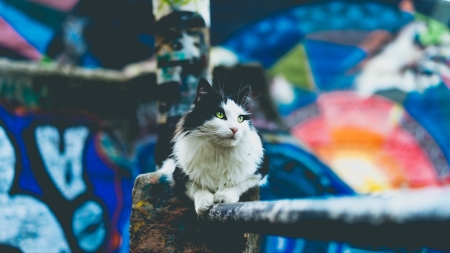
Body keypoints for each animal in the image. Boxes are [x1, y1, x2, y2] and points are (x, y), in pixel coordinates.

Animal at [159, 77, 268, 215]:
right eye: (219, 114)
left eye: (240, 119)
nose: (235, 129)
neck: (219, 153)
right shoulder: (179, 173)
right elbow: (197, 187)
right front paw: (204, 203)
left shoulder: (261, 169)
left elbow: (239, 183)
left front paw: (224, 196)